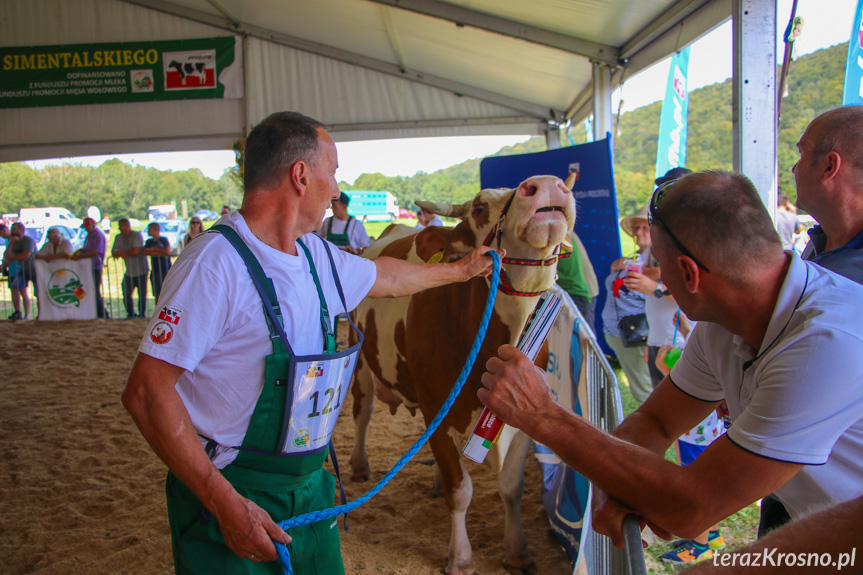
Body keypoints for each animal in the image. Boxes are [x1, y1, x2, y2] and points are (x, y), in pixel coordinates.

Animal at [348, 176, 576, 575]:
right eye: (480, 208)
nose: (547, 184)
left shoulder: (525, 413)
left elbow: (511, 487)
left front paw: (517, 551)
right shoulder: (436, 405)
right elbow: (461, 490)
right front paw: (460, 557)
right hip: (359, 357)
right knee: (363, 410)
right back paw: (360, 466)